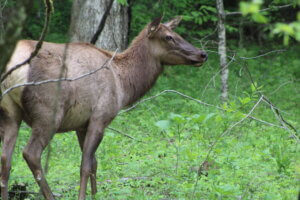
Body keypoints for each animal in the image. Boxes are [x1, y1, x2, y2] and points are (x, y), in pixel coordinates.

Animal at [0, 16, 206, 199]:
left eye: (177, 33)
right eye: (168, 37)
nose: (202, 53)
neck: (123, 85)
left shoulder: (81, 125)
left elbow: (94, 163)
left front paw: (95, 195)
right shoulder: (100, 117)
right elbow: (85, 166)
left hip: (9, 113)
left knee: (5, 161)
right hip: (49, 112)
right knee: (31, 153)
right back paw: (50, 195)